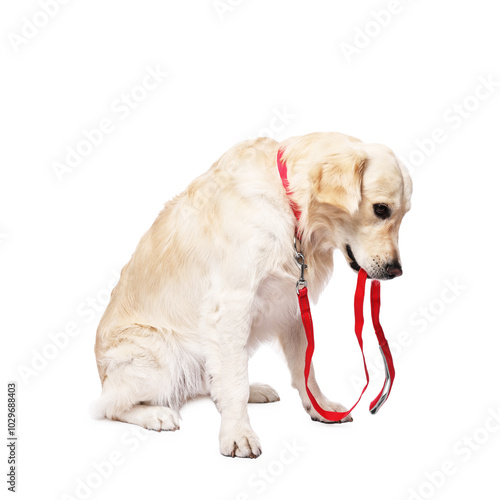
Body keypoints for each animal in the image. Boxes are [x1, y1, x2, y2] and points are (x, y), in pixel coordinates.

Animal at [92, 132, 412, 458]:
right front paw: (237, 435)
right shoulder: (231, 305)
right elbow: (234, 381)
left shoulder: (292, 303)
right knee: (108, 406)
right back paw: (156, 414)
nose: (396, 271)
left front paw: (320, 407)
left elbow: (304, 368)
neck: (290, 205)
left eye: (403, 214)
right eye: (381, 209)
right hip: (161, 355)